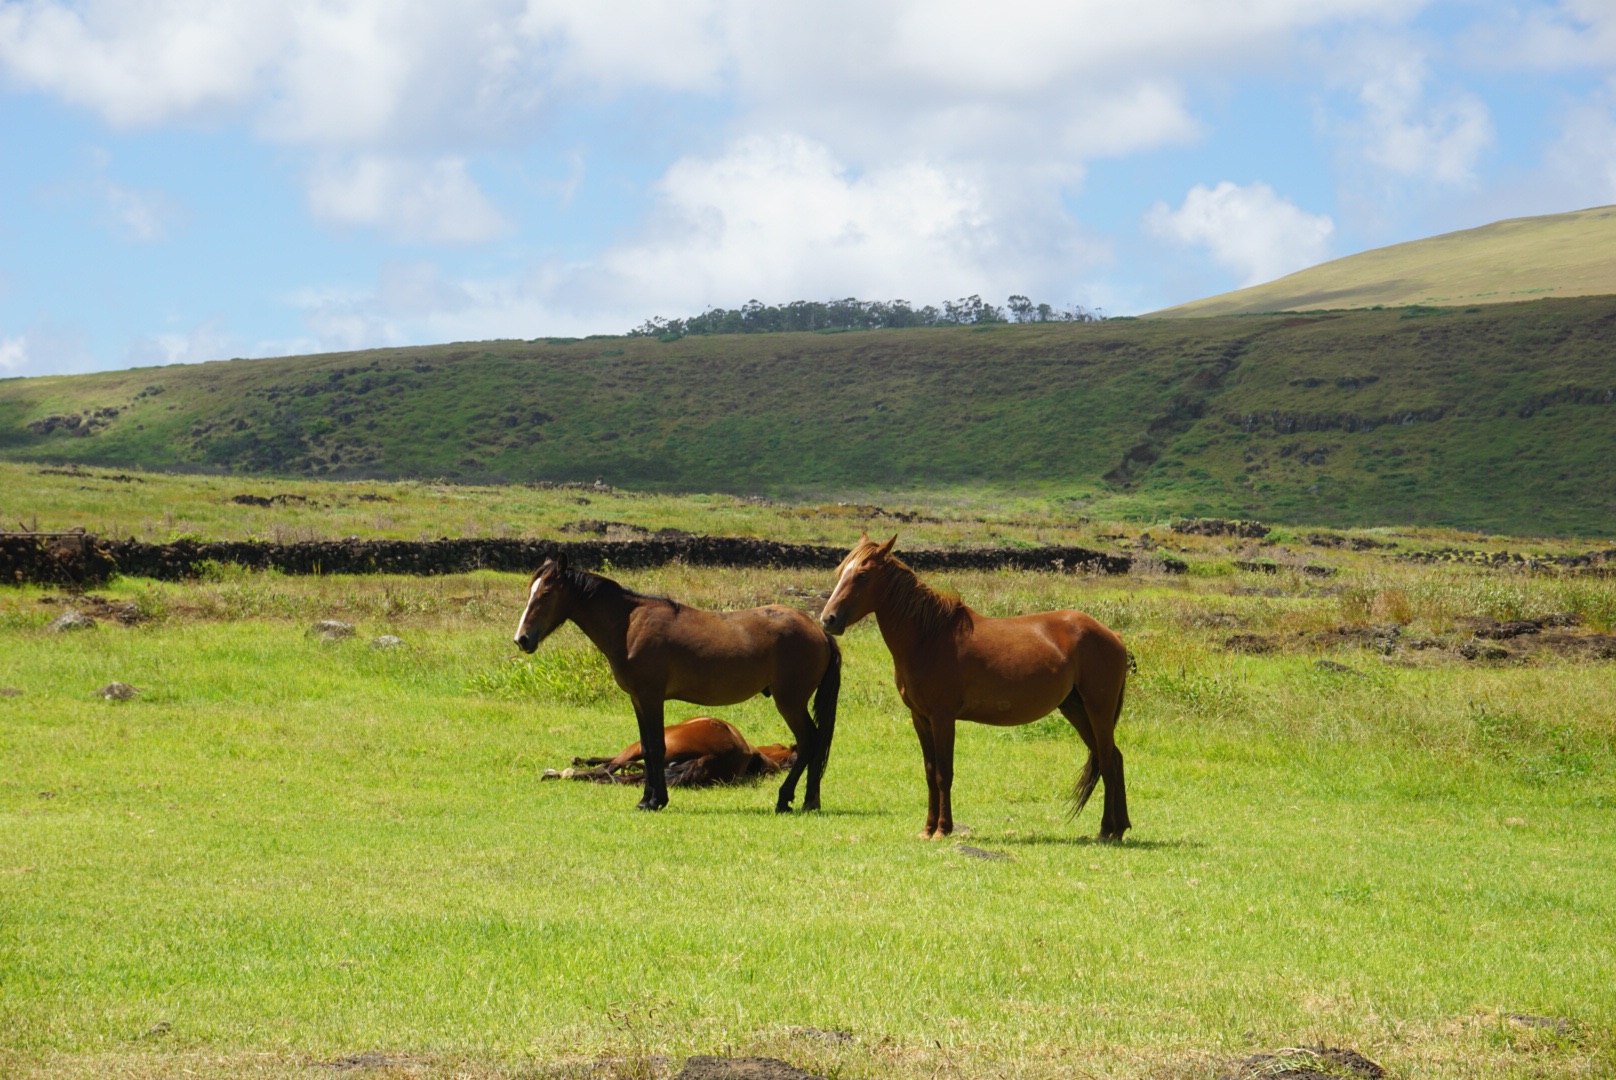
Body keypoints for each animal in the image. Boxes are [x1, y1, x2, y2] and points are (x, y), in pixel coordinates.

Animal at [513, 556, 846, 808]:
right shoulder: (638, 699)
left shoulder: (651, 697)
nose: (522, 639)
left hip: (790, 702)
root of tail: (819, 631)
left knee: (809, 741)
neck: (630, 625)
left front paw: (653, 801)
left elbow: (654, 749)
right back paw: (808, 800)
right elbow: (648, 748)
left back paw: (787, 798)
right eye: (530, 592)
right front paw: (649, 798)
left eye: (545, 594)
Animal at [814, 536, 1131, 840]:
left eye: (863, 575)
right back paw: (1119, 827)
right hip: (1075, 709)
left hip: (1098, 711)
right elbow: (930, 772)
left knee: (1108, 760)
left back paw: (1107, 830)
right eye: (841, 573)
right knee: (1113, 758)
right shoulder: (921, 718)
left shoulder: (943, 718)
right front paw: (927, 829)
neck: (928, 637)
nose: (828, 620)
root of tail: (1112, 635)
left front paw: (943, 829)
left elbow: (944, 773)